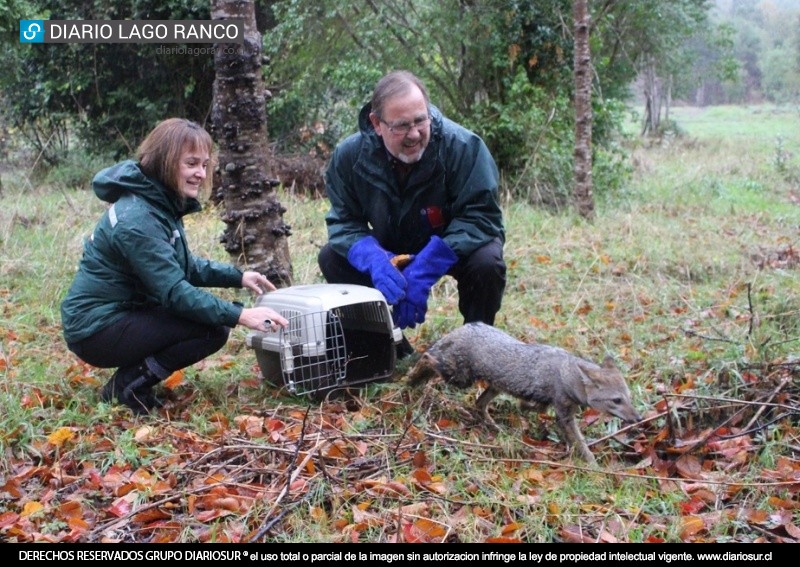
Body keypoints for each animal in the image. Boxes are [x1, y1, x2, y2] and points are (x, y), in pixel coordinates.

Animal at [406, 324, 644, 466]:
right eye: (617, 400)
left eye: (629, 398)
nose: (639, 418)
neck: (566, 374)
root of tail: (465, 327)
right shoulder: (564, 415)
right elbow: (580, 443)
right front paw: (593, 465)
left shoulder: (557, 407)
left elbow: (538, 408)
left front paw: (524, 407)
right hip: (458, 379)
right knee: (426, 358)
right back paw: (411, 380)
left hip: (493, 387)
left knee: (479, 404)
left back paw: (495, 427)